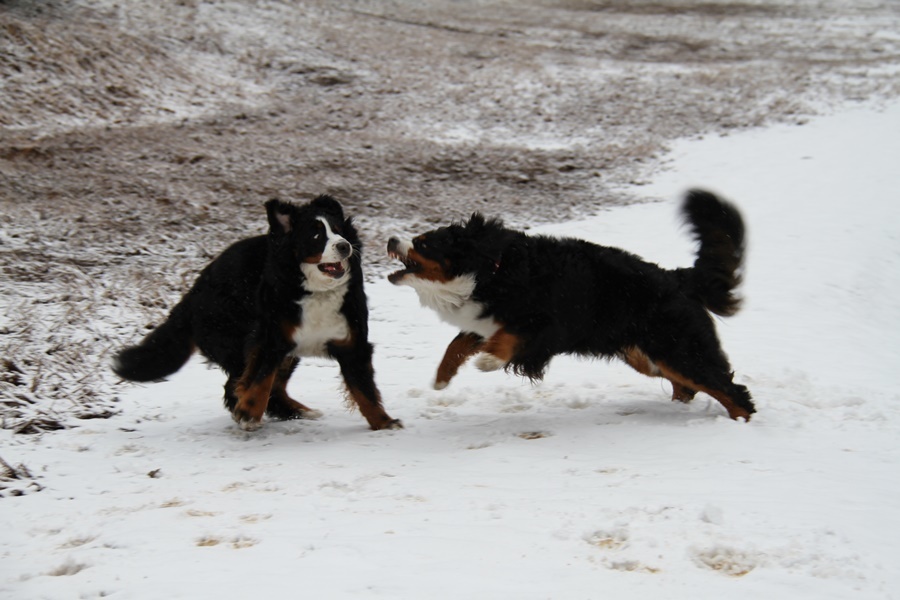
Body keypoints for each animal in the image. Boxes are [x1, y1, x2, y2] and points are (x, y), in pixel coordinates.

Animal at [115, 196, 400, 432]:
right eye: (316, 236)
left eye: (339, 230)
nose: (343, 246)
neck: (317, 291)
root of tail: (194, 292)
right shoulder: (270, 338)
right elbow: (261, 379)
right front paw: (249, 412)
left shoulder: (351, 341)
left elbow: (364, 389)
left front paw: (384, 422)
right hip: (235, 340)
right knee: (238, 385)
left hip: (286, 353)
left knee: (268, 386)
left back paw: (296, 411)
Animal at [390, 190, 756, 420]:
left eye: (423, 242)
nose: (392, 239)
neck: (489, 271)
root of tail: (678, 277)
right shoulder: (485, 320)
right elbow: (456, 344)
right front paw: (442, 377)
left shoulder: (545, 324)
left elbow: (507, 338)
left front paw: (489, 361)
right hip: (647, 355)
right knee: (687, 386)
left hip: (679, 348)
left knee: (730, 389)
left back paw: (740, 423)